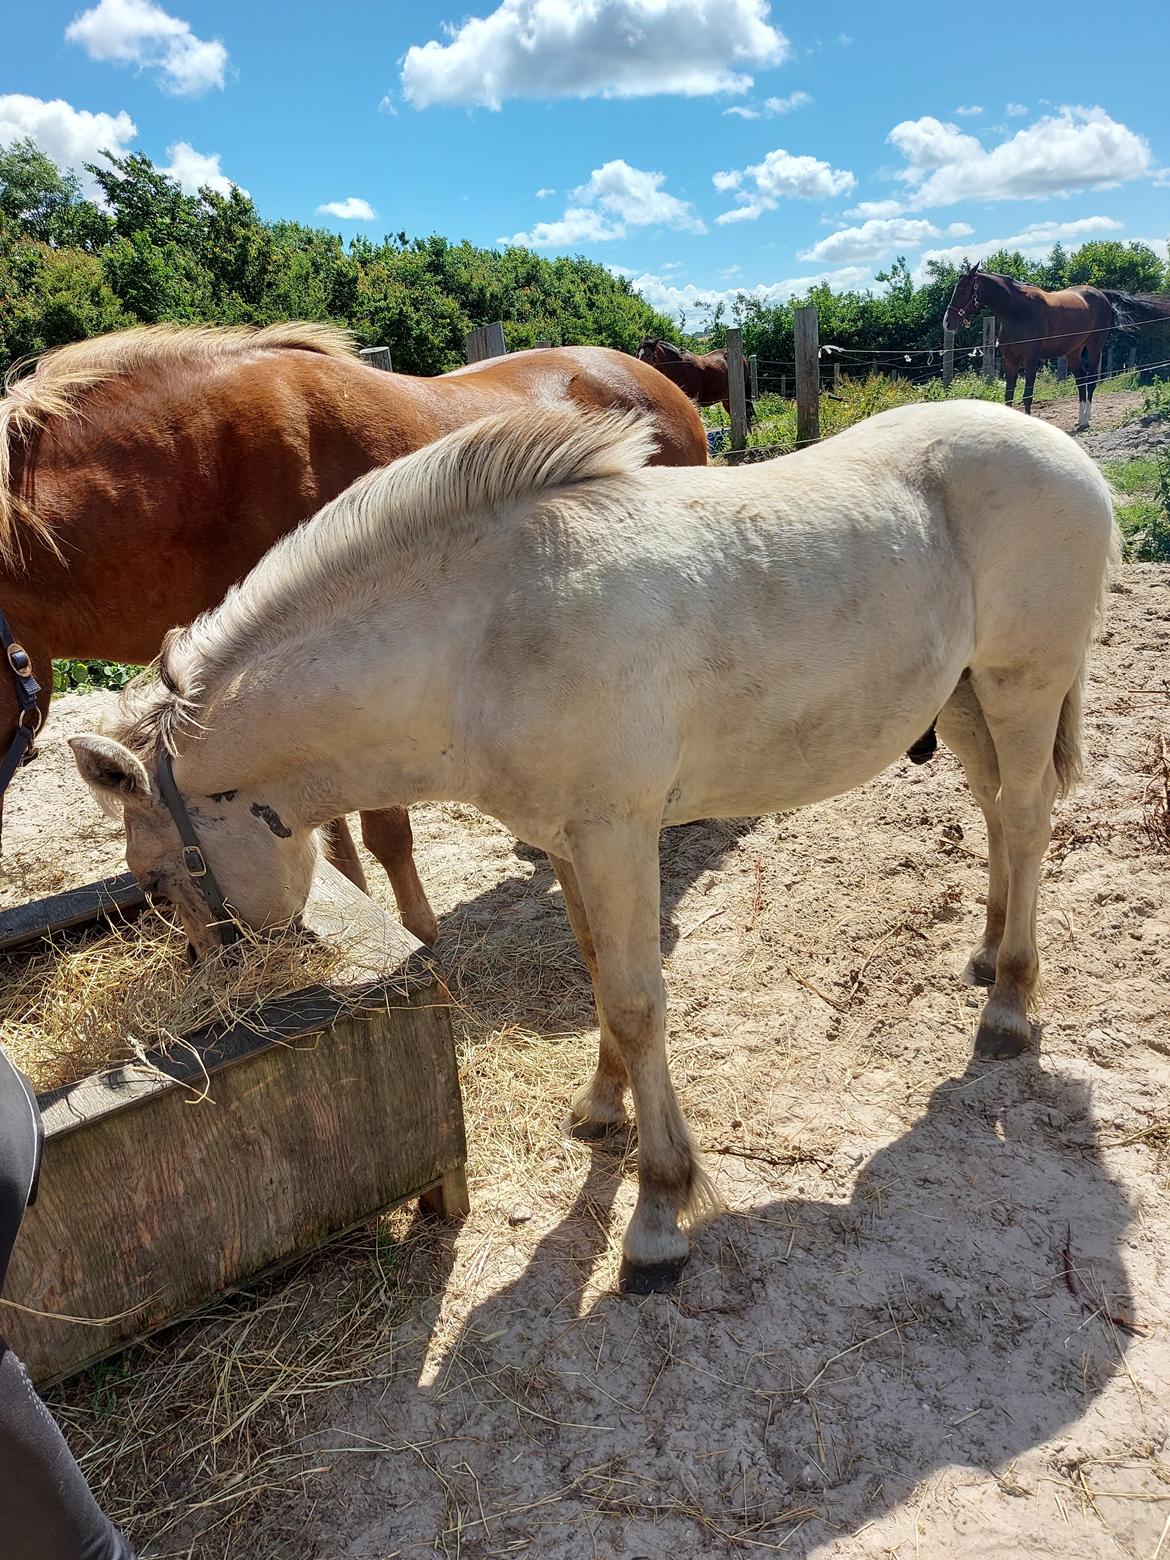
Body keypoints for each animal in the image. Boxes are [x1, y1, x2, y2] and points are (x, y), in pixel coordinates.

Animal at [70, 399, 1116, 1291]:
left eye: (157, 876)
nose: (211, 1006)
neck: (480, 641)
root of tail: (1063, 450)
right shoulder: (568, 841)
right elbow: (597, 979)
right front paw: (602, 1110)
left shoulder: (619, 835)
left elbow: (638, 1002)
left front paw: (657, 1212)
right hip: (965, 697)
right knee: (997, 814)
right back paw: (985, 954)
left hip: (1021, 685)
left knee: (1027, 818)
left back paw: (1011, 1006)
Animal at [942, 263, 1170, 427]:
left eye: (962, 289)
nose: (947, 322)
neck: (1017, 312)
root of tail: (1101, 294)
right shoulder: (1010, 361)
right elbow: (1008, 396)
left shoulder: (1031, 361)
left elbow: (1027, 396)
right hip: (1073, 352)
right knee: (1081, 379)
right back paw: (1080, 420)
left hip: (1095, 346)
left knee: (1091, 379)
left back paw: (1086, 420)